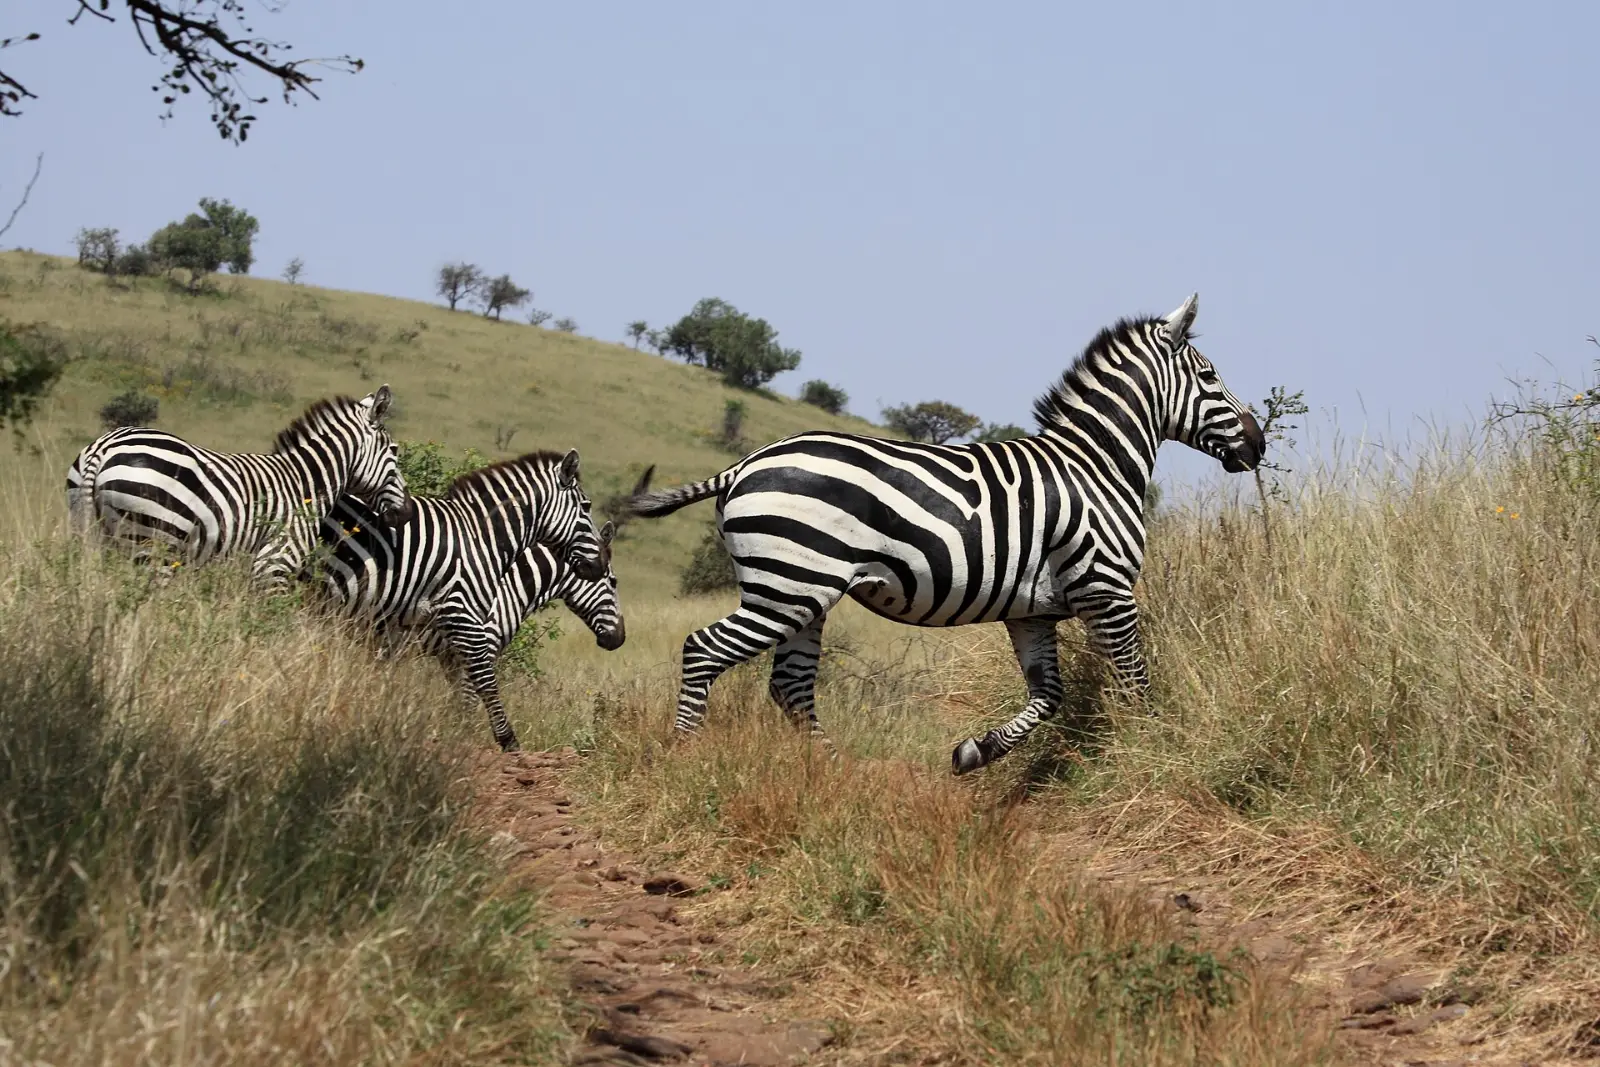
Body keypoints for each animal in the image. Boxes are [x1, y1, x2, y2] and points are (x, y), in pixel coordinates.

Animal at [65, 386, 414, 589]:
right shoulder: (275, 563)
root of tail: (106, 445)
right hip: (155, 544)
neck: (306, 482)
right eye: (395, 451)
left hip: (103, 533)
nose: (408, 511)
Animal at [306, 449, 608, 751]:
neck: (482, 541)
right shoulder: (472, 626)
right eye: (586, 506)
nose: (615, 640)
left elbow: (461, 695)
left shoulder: (446, 650)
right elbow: (480, 685)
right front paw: (496, 739)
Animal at [627, 294, 1265, 774]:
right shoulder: (1108, 590)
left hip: (802, 592)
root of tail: (745, 463)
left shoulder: (1033, 610)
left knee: (790, 683)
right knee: (704, 650)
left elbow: (1048, 696)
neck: (1095, 465)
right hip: (789, 586)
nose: (1258, 445)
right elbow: (1135, 683)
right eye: (1209, 376)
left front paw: (974, 753)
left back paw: (835, 770)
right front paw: (1150, 752)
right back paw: (683, 757)